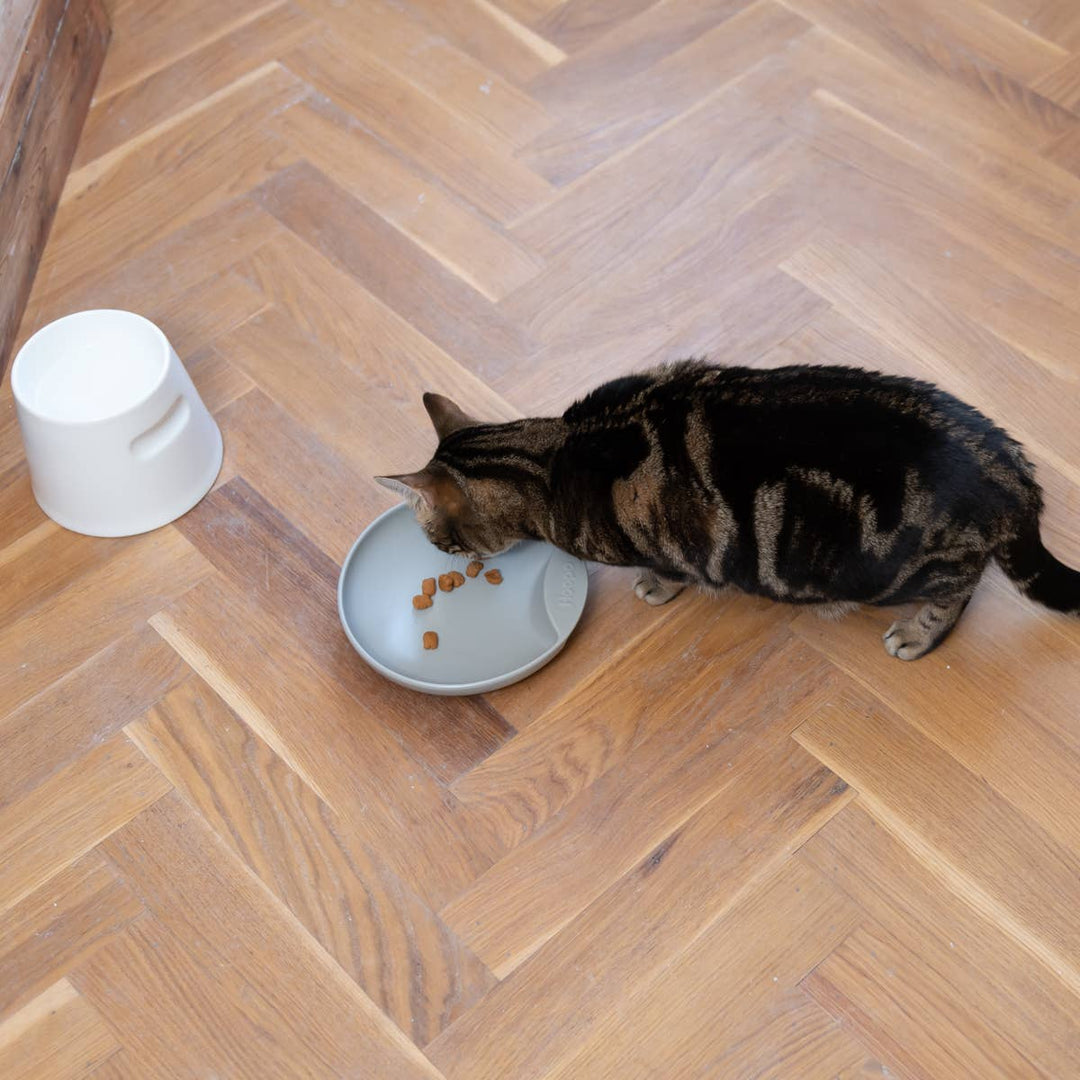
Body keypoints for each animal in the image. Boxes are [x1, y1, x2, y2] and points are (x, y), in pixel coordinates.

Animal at [375, 365, 1075, 656]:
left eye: (438, 542)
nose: (435, 550)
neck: (549, 453)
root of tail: (1014, 472)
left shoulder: (668, 542)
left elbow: (673, 569)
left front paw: (655, 586)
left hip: (890, 571)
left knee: (962, 590)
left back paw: (918, 633)